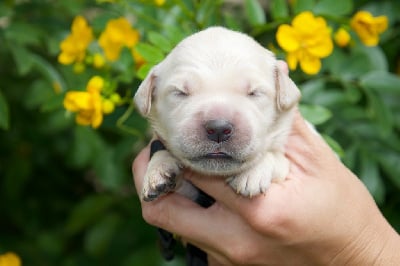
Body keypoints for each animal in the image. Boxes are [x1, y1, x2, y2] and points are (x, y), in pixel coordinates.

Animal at [134, 27, 300, 202]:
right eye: (180, 92)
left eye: (254, 93)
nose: (218, 129)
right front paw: (158, 169)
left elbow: (277, 157)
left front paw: (252, 172)